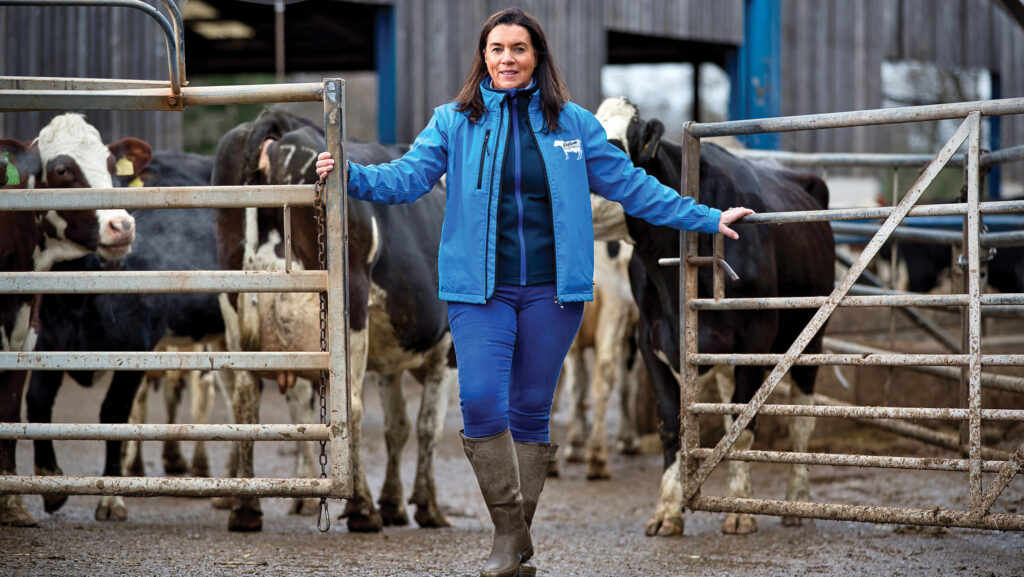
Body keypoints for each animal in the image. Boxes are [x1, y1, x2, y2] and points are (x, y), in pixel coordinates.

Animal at [0, 114, 149, 528]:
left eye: (111, 165)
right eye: (63, 170)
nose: (122, 225)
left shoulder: (25, 339)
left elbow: (9, 413)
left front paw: (12, 505)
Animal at [25, 151, 222, 520]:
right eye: (59, 172)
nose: (120, 228)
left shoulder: (136, 345)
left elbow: (114, 413)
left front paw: (111, 497)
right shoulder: (52, 339)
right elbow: (37, 400)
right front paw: (49, 478)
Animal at [593, 98, 831, 537]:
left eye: (611, 147)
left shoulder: (755, 340)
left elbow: (742, 424)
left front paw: (739, 509)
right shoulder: (650, 341)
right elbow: (672, 424)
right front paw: (668, 509)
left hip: (811, 334)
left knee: (801, 420)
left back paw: (797, 500)